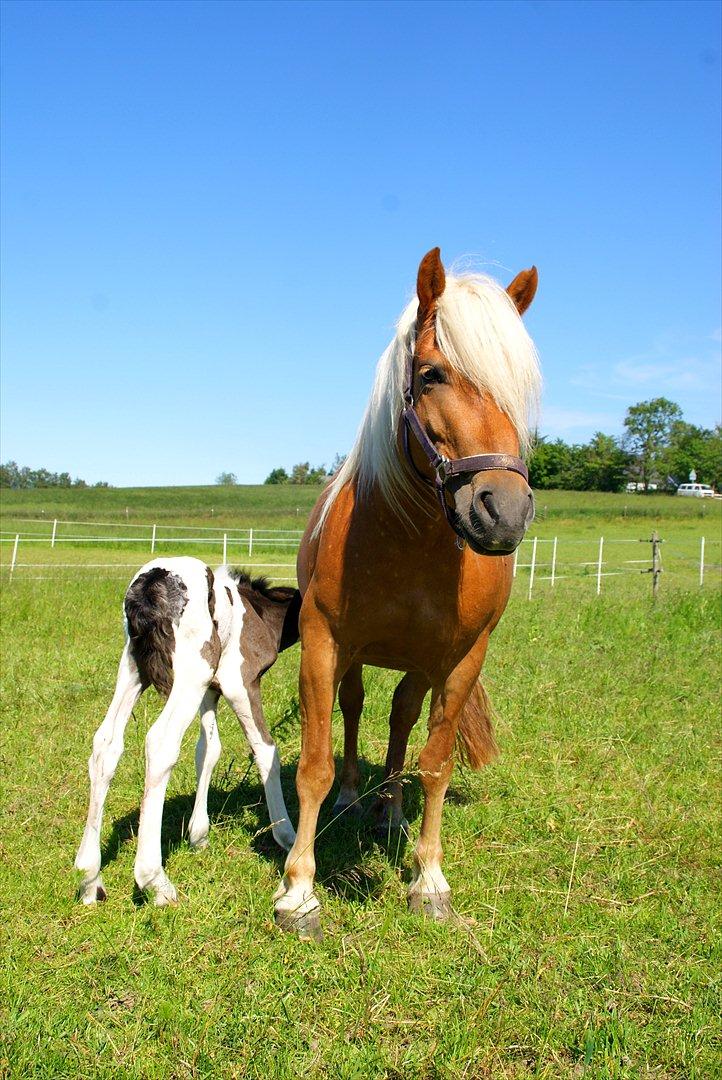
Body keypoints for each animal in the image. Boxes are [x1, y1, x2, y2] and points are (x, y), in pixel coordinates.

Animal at [73, 561, 297, 907]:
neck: (258, 611)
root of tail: (152, 582)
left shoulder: (210, 691)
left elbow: (208, 749)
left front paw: (198, 835)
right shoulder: (239, 682)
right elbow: (265, 749)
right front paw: (286, 834)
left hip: (134, 668)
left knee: (106, 744)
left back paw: (89, 878)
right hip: (190, 673)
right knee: (160, 743)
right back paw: (154, 881)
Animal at [273, 247, 537, 937]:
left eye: (521, 390)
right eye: (431, 373)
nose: (503, 511)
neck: (410, 540)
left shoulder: (462, 658)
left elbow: (435, 762)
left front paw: (430, 880)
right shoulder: (323, 644)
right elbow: (313, 764)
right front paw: (298, 891)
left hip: (420, 664)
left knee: (400, 717)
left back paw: (389, 808)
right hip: (357, 658)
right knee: (358, 709)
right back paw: (352, 797)